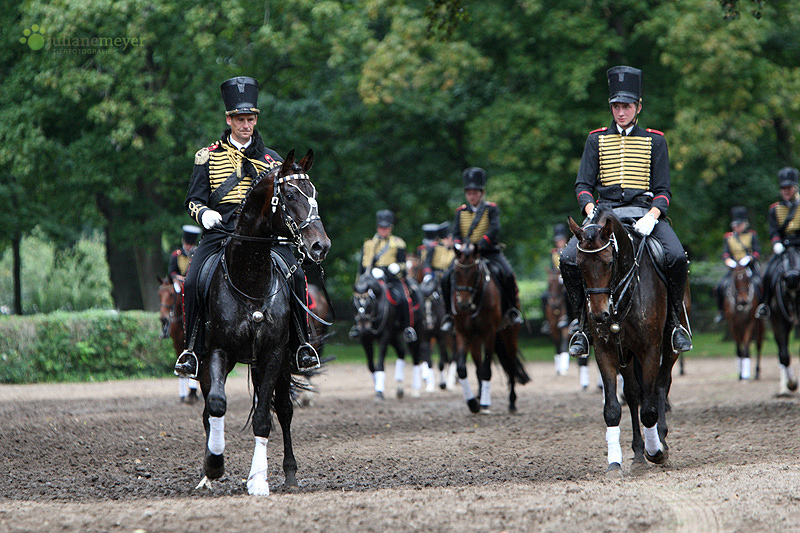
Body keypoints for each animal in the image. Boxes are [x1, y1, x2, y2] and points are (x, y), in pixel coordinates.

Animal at [195, 149, 330, 494]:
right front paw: (213, 465)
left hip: (275, 364)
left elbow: (264, 418)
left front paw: (258, 480)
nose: (320, 246)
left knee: (283, 410)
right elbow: (216, 405)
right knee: (208, 409)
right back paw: (207, 473)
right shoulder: (218, 352)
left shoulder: (273, 355)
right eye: (291, 195)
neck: (250, 279)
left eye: (315, 193)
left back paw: (290, 473)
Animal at [352, 270, 424, 400]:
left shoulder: (384, 336)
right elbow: (371, 366)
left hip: (417, 329)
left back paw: (415, 390)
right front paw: (378, 387)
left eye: (369, 303)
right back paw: (400, 389)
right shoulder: (365, 339)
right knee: (401, 352)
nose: (363, 329)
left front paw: (379, 392)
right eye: (354, 303)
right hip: (393, 336)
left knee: (416, 357)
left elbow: (380, 364)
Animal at [454, 241, 528, 412]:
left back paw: (512, 401)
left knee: (511, 363)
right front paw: (472, 403)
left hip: (509, 333)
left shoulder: (489, 332)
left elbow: (487, 370)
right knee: (479, 365)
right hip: (477, 339)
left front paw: (484, 403)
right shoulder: (463, 333)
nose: (463, 304)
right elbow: (462, 369)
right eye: (456, 272)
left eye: (474, 272)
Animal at [568, 207, 680, 474]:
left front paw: (656, 452)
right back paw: (638, 452)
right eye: (579, 265)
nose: (600, 315)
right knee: (632, 393)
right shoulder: (606, 351)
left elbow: (649, 409)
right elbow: (612, 409)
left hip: (667, 349)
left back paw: (660, 441)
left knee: (661, 385)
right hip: (625, 354)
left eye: (609, 262)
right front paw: (614, 462)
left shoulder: (650, 349)